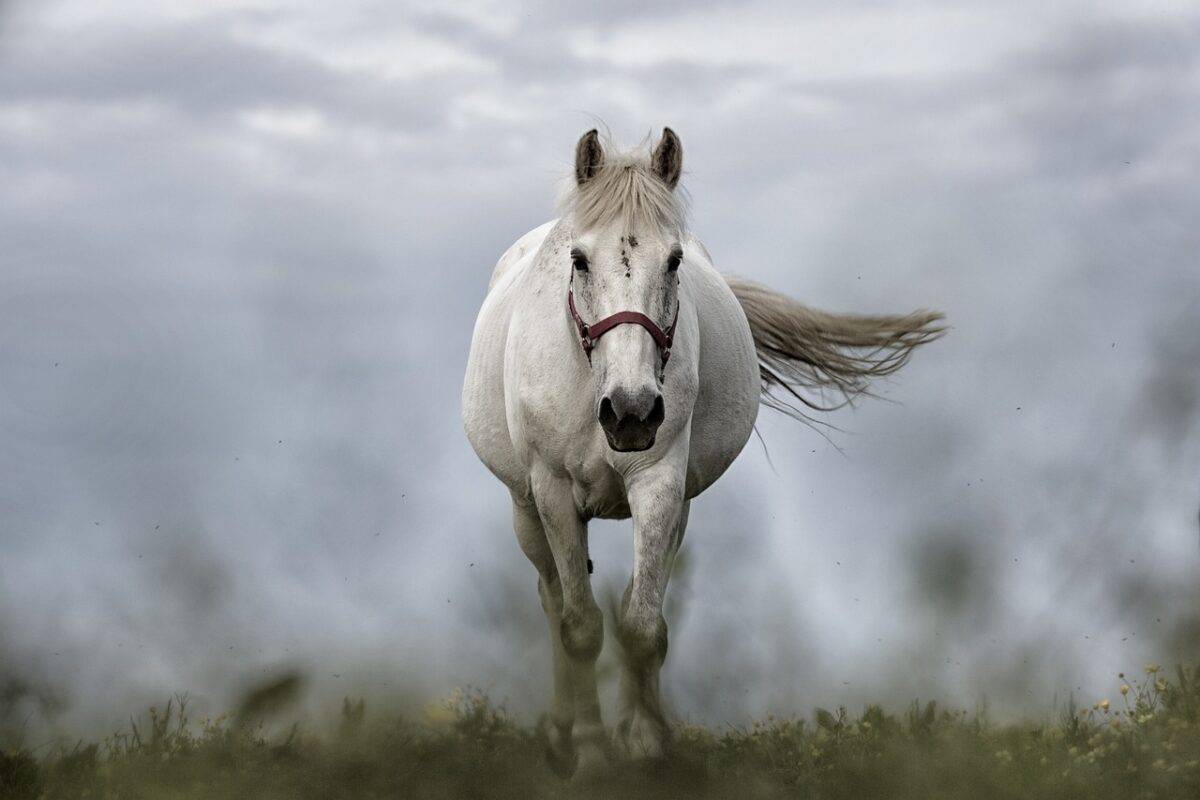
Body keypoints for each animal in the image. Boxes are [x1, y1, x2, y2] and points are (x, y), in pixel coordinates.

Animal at [463, 130, 940, 777]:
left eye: (674, 261)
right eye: (580, 259)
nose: (632, 412)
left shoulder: (661, 485)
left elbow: (642, 625)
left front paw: (643, 743)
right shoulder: (553, 492)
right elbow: (580, 627)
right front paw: (590, 753)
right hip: (524, 508)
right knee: (552, 599)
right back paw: (561, 733)